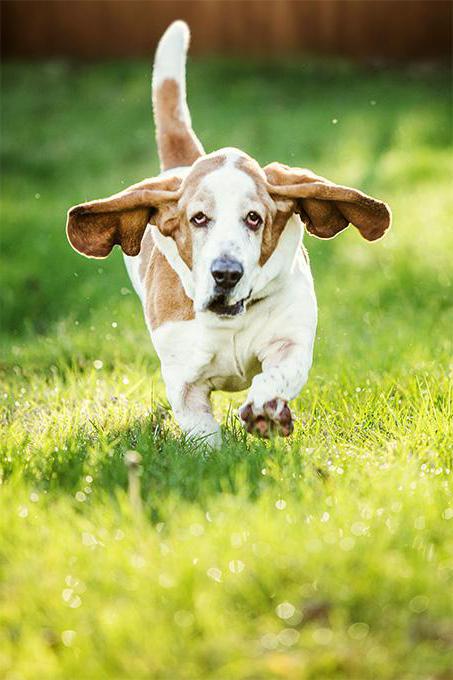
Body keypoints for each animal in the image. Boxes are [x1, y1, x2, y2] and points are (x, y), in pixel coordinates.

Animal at [65, 19, 390, 446]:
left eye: (254, 218)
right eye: (198, 218)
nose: (226, 274)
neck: (230, 320)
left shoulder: (291, 343)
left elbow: (278, 375)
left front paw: (266, 410)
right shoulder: (185, 384)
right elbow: (202, 433)